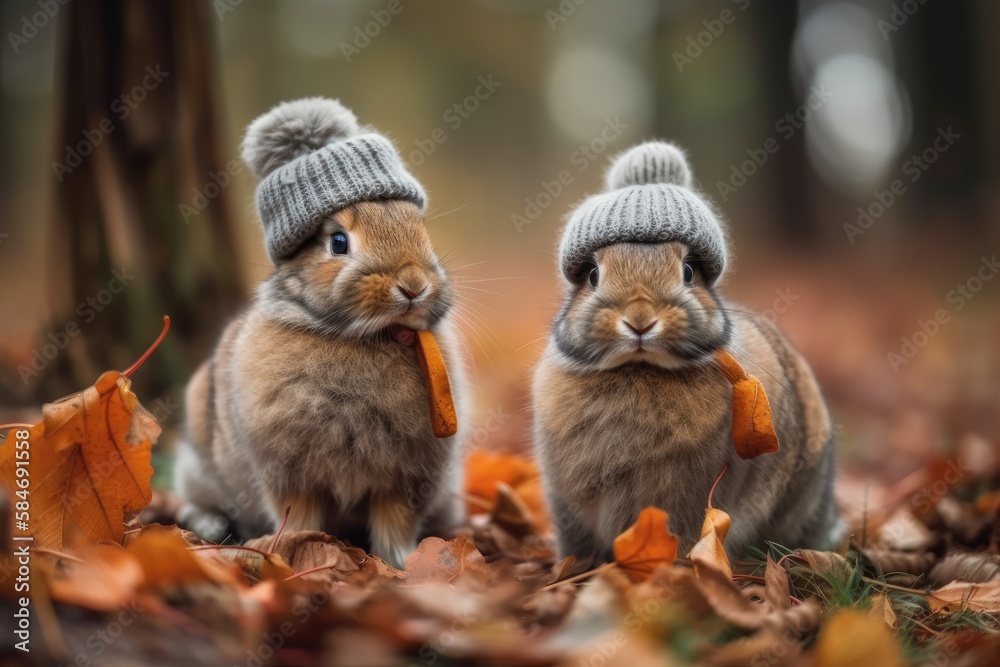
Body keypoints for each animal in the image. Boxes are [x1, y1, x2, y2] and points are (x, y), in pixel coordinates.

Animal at [173, 99, 468, 568]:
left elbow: (394, 524)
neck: (355, 338)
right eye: (338, 242)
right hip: (200, 462)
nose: (413, 285)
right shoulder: (292, 477)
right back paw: (212, 527)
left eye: (419, 228)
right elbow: (299, 518)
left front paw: (399, 565)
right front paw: (293, 552)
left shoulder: (403, 481)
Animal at [532, 142, 836, 568]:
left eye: (689, 271)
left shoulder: (684, 501)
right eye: (592, 275)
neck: (638, 369)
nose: (640, 321)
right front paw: (571, 570)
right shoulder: (567, 505)